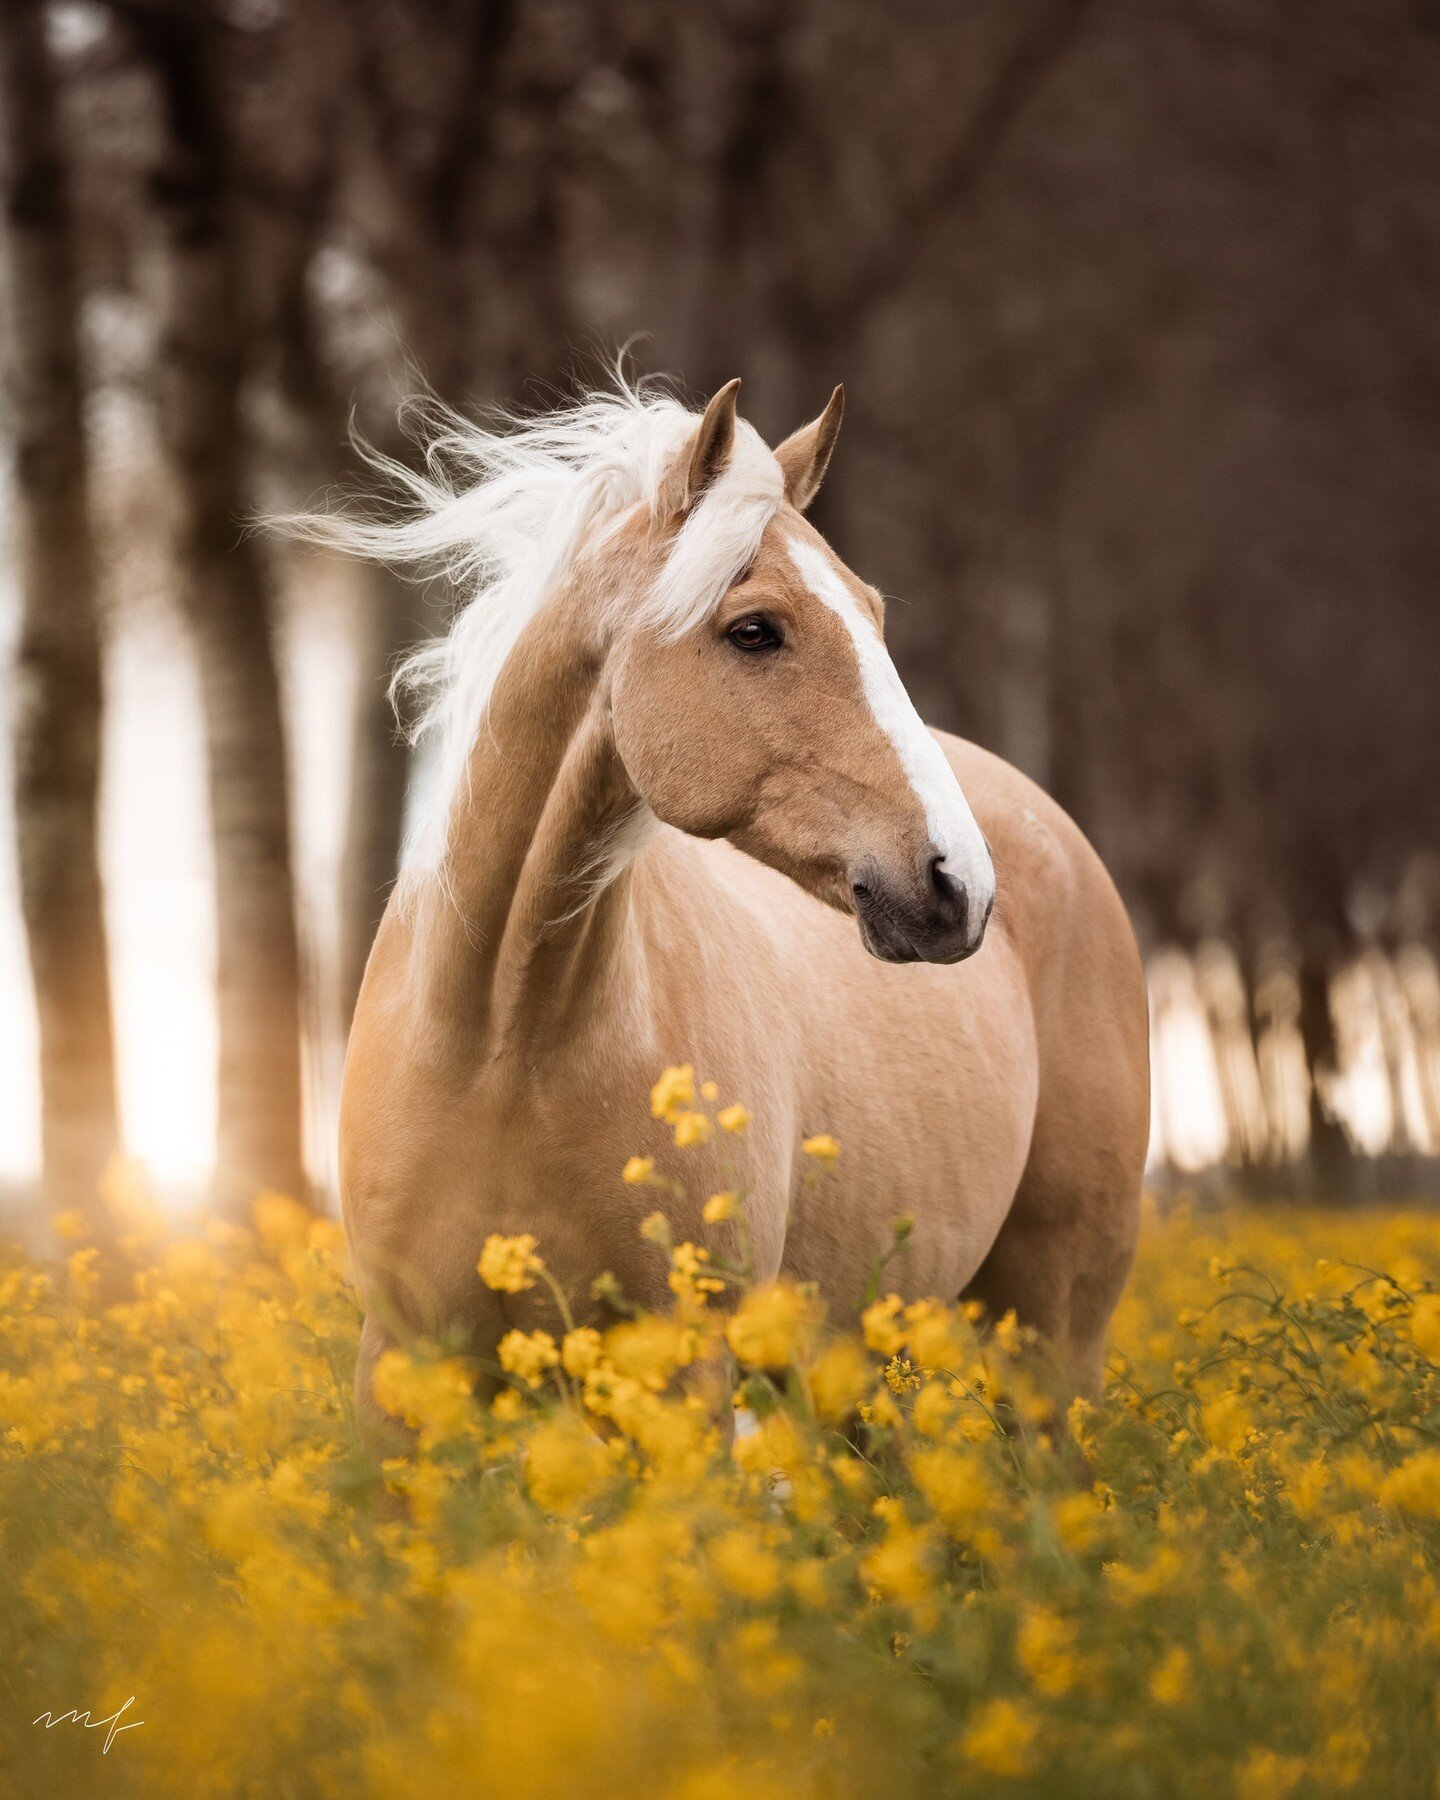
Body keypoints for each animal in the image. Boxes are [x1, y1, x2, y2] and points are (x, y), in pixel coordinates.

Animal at [309, 379, 1152, 1432]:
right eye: (755, 629)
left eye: (873, 613)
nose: (959, 885)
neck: (500, 1044)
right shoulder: (401, 1366)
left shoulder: (687, 1375)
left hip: (1055, 1338)